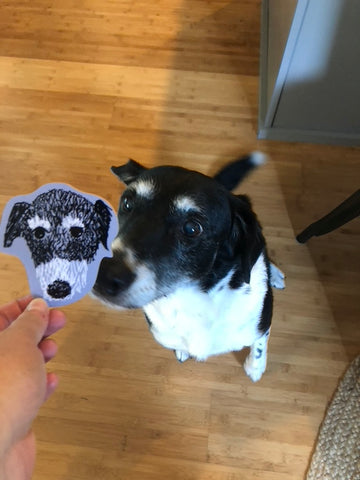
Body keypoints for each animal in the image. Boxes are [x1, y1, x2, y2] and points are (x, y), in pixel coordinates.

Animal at [93, 154, 284, 382]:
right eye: (128, 203)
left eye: (192, 228)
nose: (102, 275)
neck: (193, 301)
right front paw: (182, 350)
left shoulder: (262, 324)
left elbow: (259, 347)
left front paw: (255, 368)